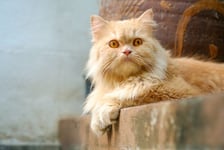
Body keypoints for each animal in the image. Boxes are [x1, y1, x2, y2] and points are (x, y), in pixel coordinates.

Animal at [83, 8, 224, 135]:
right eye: (114, 44)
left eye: (137, 42)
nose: (127, 51)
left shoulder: (182, 94)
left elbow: (132, 96)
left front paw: (102, 114)